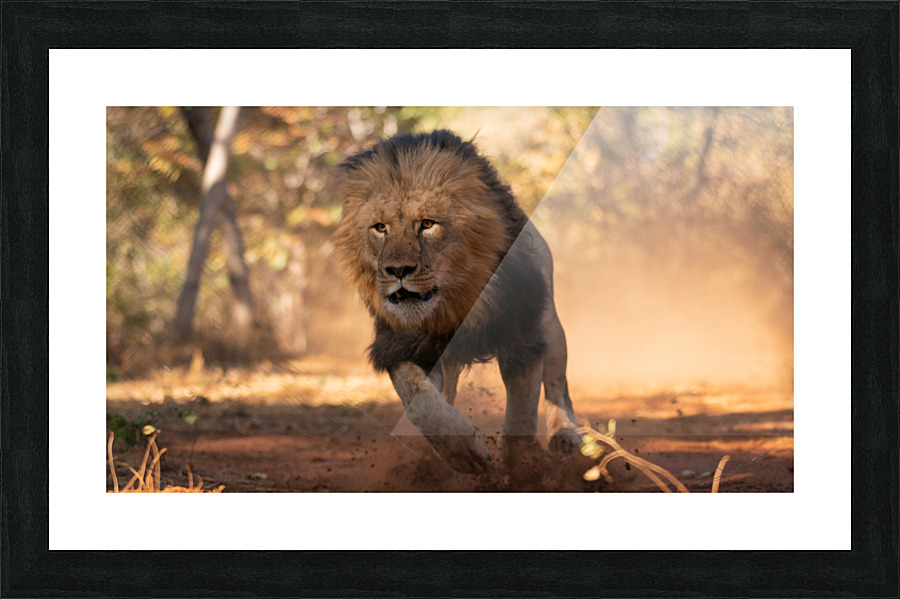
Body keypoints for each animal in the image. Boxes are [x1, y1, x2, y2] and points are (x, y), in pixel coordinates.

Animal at [333, 130, 580, 474]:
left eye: (427, 224)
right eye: (380, 228)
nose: (397, 270)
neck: (456, 304)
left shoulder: (521, 334)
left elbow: (521, 415)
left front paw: (521, 470)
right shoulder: (402, 344)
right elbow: (422, 404)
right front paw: (462, 453)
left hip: (549, 320)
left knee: (558, 383)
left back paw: (565, 435)